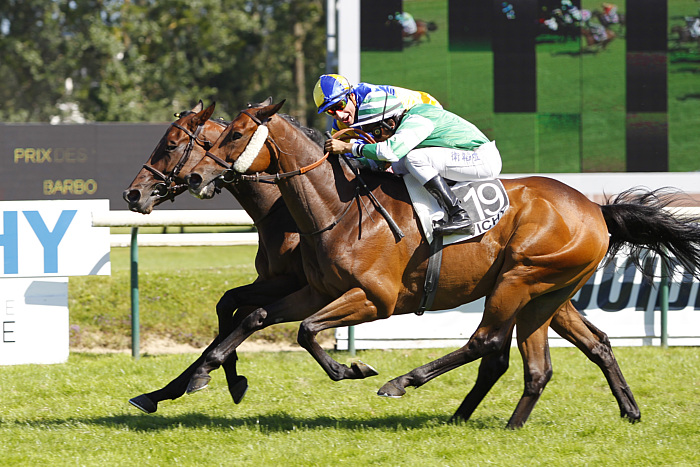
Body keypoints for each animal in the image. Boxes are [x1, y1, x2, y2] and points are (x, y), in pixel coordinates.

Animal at [185, 100, 700, 430]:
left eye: (234, 134)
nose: (195, 176)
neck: (340, 208)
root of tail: (597, 209)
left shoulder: (375, 298)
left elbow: (306, 331)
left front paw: (353, 369)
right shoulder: (317, 290)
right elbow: (263, 316)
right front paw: (206, 372)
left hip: (518, 280)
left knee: (488, 342)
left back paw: (405, 383)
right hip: (548, 294)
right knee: (568, 354)